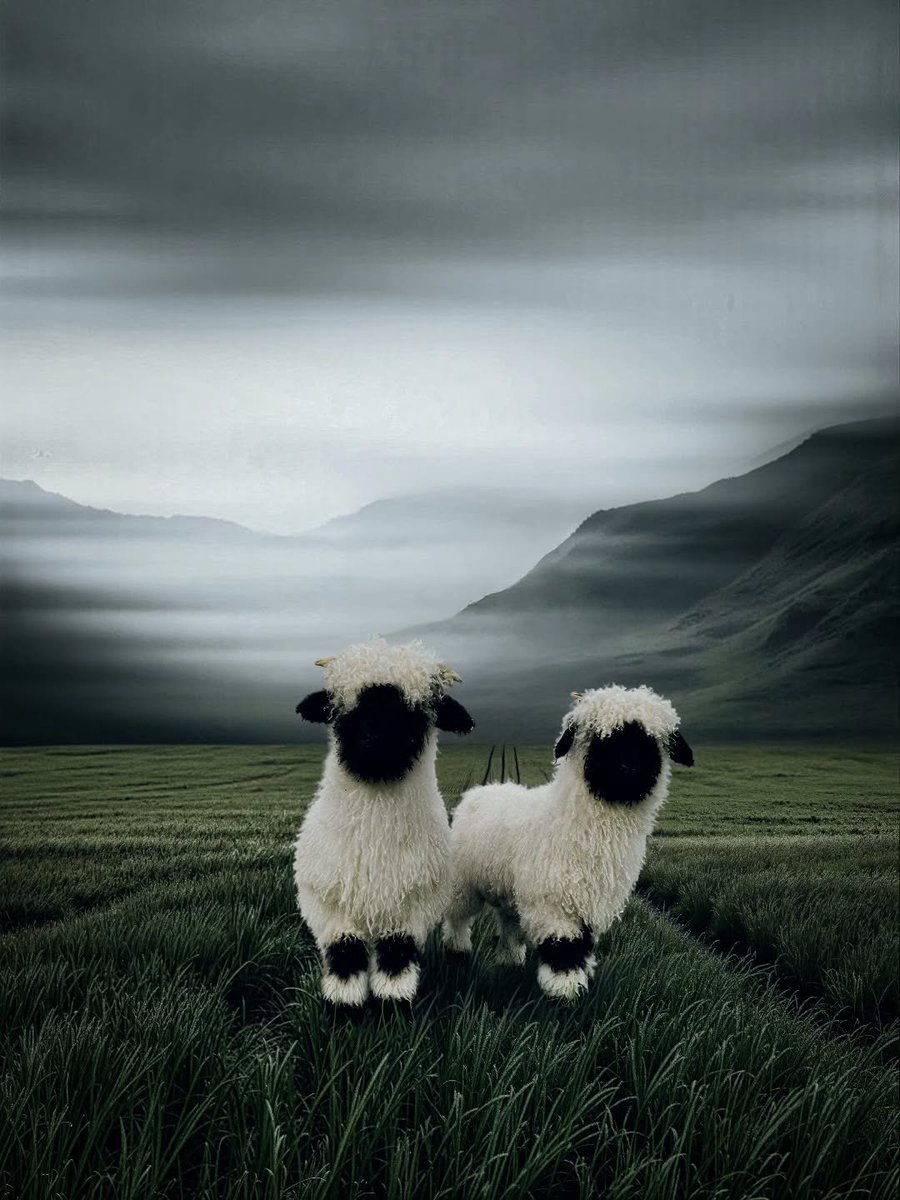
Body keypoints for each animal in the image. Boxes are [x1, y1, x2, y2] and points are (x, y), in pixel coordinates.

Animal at [293, 637, 474, 1006]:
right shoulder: (331, 907)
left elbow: (396, 958)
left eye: (419, 710)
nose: (377, 740)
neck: (374, 844)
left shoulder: (411, 909)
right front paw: (344, 1006)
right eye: (342, 708)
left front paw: (394, 1006)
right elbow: (345, 955)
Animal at [443, 685, 693, 1001]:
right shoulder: (554, 901)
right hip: (463, 882)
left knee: (509, 922)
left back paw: (510, 959)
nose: (627, 770)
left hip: (511, 890)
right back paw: (458, 950)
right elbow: (563, 948)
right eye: (599, 738)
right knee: (457, 917)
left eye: (650, 742)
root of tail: (481, 790)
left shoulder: (589, 904)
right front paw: (565, 995)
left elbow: (583, 947)